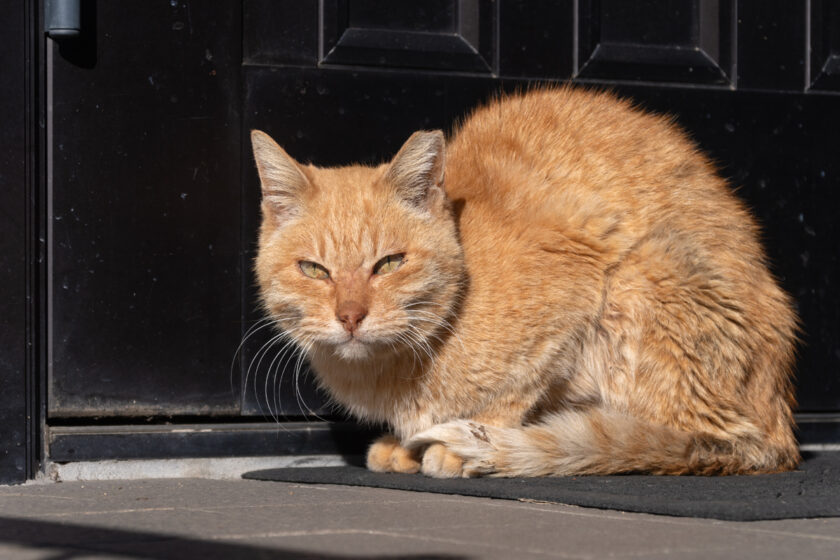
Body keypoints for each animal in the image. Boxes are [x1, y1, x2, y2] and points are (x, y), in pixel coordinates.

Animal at [251, 87, 800, 476]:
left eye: (388, 263)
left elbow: (511, 397)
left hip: (646, 275)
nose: (349, 316)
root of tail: (783, 432)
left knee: (684, 440)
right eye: (314, 270)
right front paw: (408, 446)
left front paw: (469, 443)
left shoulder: (574, 295)